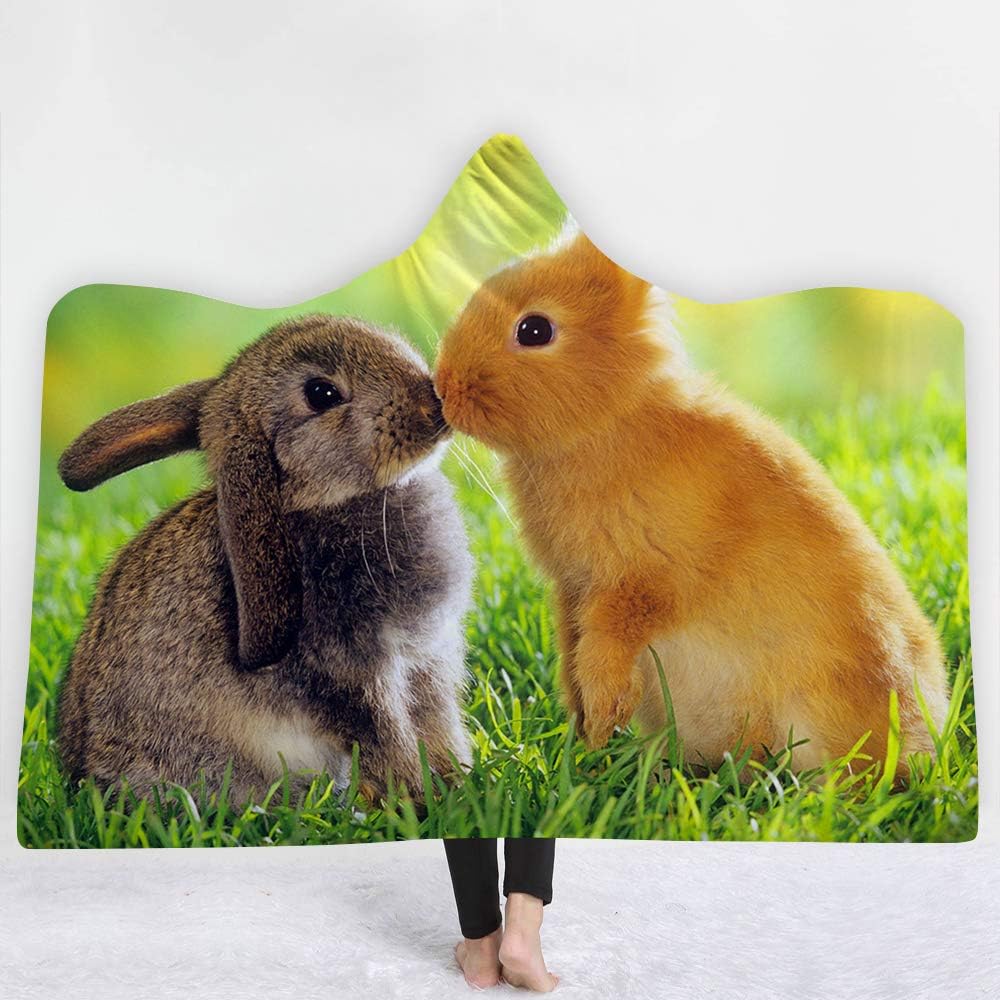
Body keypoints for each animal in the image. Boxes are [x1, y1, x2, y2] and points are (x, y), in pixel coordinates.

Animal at [56, 313, 474, 804]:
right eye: (321, 394)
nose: (434, 406)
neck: (315, 501)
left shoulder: (426, 661)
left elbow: (438, 727)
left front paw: (458, 784)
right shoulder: (352, 673)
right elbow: (388, 738)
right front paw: (421, 799)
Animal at [434, 226, 950, 781]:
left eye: (534, 329)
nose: (443, 388)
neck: (609, 420)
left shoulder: (640, 583)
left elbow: (608, 646)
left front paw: (602, 719)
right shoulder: (572, 590)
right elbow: (572, 653)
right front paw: (584, 731)